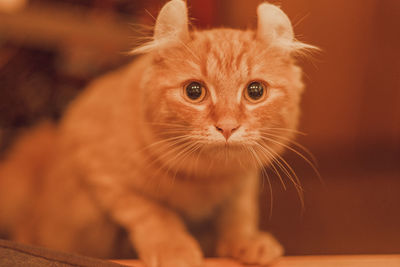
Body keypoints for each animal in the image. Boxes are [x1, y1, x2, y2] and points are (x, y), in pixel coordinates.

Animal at [0, 0, 318, 267]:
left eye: (255, 91)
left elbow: (237, 213)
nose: (227, 126)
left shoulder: (242, 184)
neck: (207, 177)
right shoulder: (102, 170)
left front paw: (246, 241)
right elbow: (153, 212)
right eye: (194, 91)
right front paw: (173, 247)